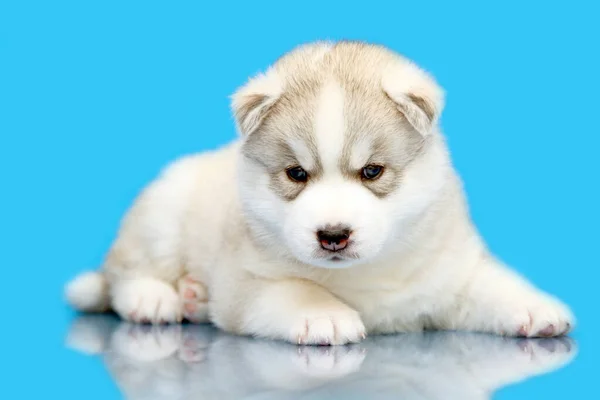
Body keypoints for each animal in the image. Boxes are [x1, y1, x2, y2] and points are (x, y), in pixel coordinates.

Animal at [64, 41, 572, 346]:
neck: (366, 274)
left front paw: (537, 307)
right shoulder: (244, 280)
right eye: (296, 174)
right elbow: (292, 289)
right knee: (126, 270)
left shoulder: (452, 270)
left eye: (372, 171)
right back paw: (158, 299)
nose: (333, 235)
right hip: (163, 213)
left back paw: (192, 297)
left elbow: (492, 284)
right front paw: (323, 314)